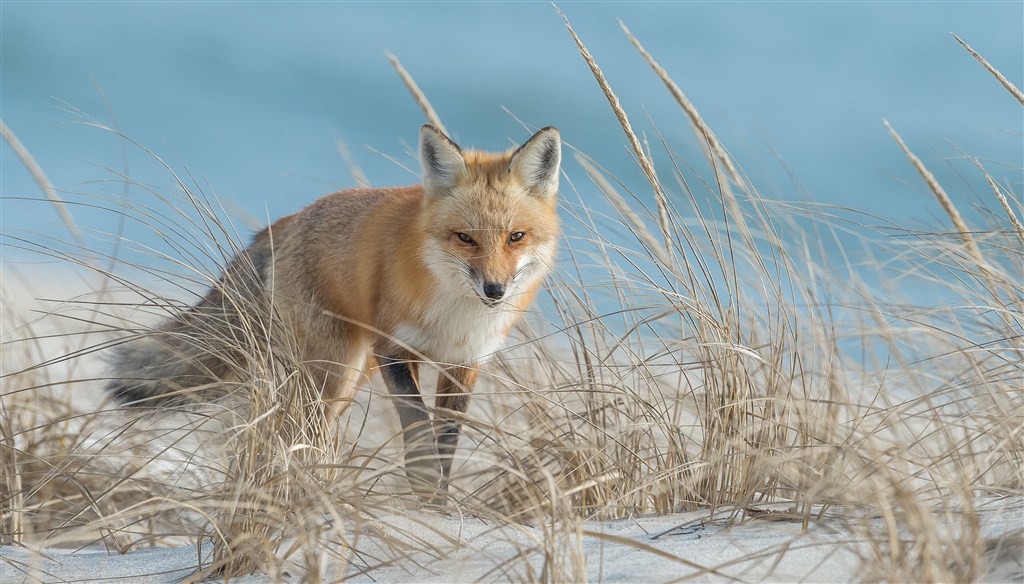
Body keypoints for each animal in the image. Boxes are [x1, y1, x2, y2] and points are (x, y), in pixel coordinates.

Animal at [105, 123, 561, 499]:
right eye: (465, 238)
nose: (495, 290)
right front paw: (424, 488)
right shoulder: (393, 350)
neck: (455, 315)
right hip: (334, 373)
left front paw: (439, 506)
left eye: (516, 237)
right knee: (294, 431)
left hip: (352, 375)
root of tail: (286, 220)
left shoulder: (464, 363)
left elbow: (446, 443)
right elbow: (417, 430)